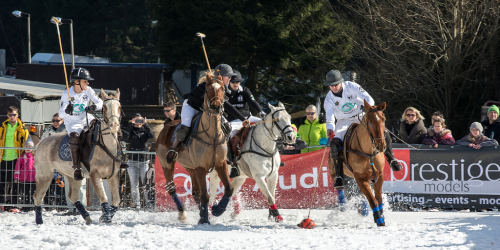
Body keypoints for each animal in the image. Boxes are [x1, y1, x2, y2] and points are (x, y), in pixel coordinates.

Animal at [34, 89, 123, 226]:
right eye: (104, 107)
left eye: (119, 107)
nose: (114, 125)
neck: (105, 144)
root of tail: (42, 141)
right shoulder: (94, 175)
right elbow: (104, 197)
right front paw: (105, 218)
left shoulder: (113, 175)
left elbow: (117, 200)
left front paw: (104, 217)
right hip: (44, 173)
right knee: (38, 196)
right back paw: (39, 222)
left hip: (73, 176)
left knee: (73, 196)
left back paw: (87, 217)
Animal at [156, 72, 232, 225]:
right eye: (207, 89)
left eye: (223, 89)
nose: (216, 107)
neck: (213, 136)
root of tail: (165, 127)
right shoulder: (200, 167)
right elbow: (205, 195)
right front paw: (204, 220)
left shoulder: (221, 164)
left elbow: (228, 188)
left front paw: (217, 210)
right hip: (167, 164)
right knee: (171, 188)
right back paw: (182, 213)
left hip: (190, 167)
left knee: (195, 192)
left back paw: (203, 212)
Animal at [330, 99, 388, 227]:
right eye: (369, 122)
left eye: (383, 119)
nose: (381, 146)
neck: (368, 153)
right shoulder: (360, 177)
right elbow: (373, 200)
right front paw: (379, 220)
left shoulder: (379, 176)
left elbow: (379, 199)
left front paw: (381, 218)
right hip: (334, 171)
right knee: (339, 185)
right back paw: (343, 205)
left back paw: (364, 210)